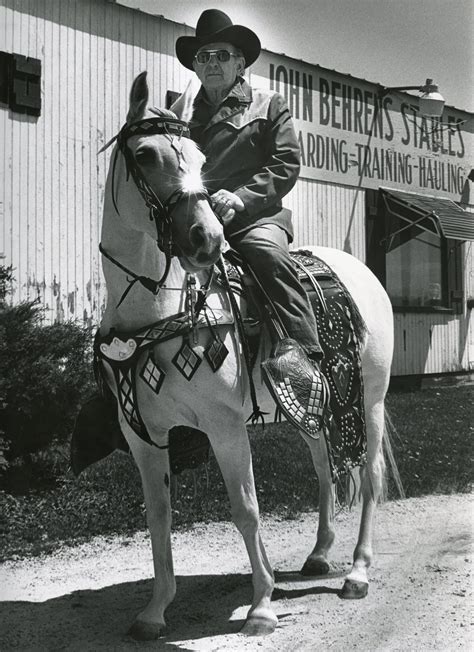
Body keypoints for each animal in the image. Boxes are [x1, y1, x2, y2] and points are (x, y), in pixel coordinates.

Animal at [100, 70, 396, 636]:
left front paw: (261, 606)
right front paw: (155, 611)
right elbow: (158, 518)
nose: (207, 238)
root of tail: (361, 270)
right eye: (146, 155)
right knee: (324, 468)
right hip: (312, 407)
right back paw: (319, 555)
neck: (158, 310)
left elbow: (246, 510)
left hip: (369, 400)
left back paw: (358, 572)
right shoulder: (141, 435)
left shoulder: (225, 426)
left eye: (198, 157)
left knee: (368, 478)